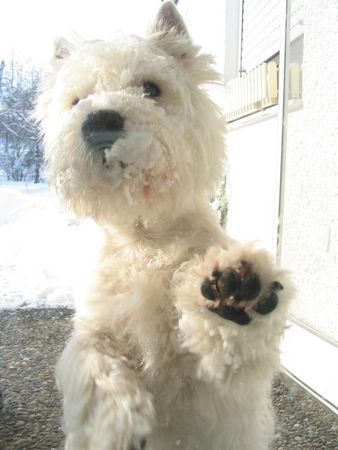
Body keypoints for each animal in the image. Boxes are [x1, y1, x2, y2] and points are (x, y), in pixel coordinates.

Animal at [35, 1, 292, 448]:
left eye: (151, 88)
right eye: (78, 99)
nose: (99, 120)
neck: (145, 236)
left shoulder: (214, 396)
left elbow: (225, 358)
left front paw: (234, 292)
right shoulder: (96, 327)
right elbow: (95, 363)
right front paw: (118, 423)